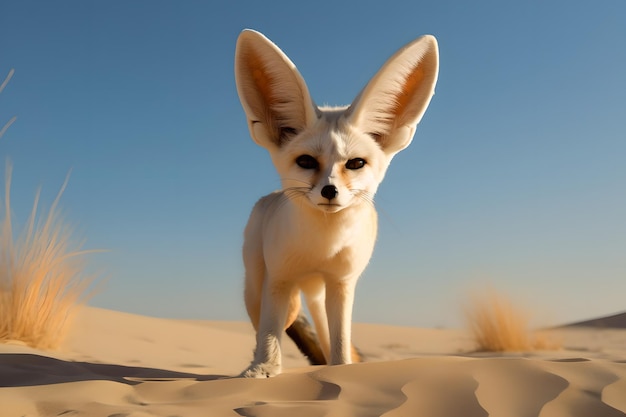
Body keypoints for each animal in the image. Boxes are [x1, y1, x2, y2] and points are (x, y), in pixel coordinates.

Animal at [232, 27, 436, 376]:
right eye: (305, 162)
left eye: (355, 163)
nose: (329, 191)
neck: (321, 246)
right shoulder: (279, 279)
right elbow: (269, 333)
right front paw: (262, 369)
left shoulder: (342, 282)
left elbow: (340, 339)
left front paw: (341, 371)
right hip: (257, 286)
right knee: (267, 322)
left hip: (318, 291)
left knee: (323, 327)